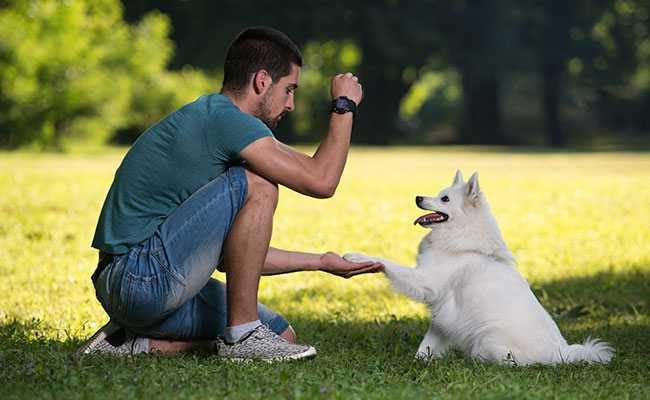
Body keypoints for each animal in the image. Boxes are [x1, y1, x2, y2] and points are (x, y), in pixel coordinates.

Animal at [344, 170, 612, 364]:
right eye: (439, 194)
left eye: (445, 199)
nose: (418, 198)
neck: (463, 243)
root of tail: (561, 353)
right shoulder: (443, 314)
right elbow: (428, 343)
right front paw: (420, 361)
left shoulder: (427, 282)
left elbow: (390, 264)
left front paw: (357, 257)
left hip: (488, 336)